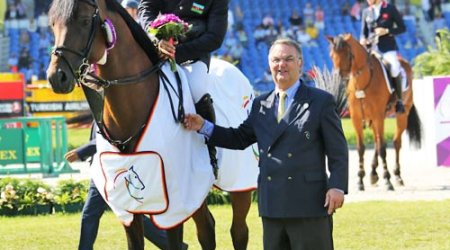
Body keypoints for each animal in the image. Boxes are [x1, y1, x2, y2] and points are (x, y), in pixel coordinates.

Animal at [46, 0, 258, 248]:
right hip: (197, 189)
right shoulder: (129, 208)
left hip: (239, 183)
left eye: (85, 20)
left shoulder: (173, 204)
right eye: (53, 24)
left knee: (239, 231)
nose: (56, 77)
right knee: (207, 229)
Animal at [326, 33, 422, 190]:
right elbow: (361, 148)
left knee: (396, 142)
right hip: (373, 120)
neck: (362, 83)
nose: (339, 78)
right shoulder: (357, 118)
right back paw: (373, 174)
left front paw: (387, 180)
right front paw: (360, 180)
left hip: (402, 115)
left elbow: (383, 148)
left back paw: (397, 176)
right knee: (377, 141)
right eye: (331, 55)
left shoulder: (378, 116)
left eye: (347, 54)